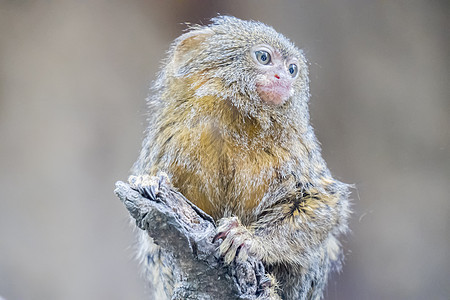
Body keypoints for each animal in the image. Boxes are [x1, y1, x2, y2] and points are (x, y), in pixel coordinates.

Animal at [128, 15, 350, 300]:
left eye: (292, 70)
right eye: (264, 57)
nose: (283, 78)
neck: (234, 119)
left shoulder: (297, 146)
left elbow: (323, 201)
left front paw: (249, 240)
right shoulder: (170, 137)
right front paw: (152, 183)